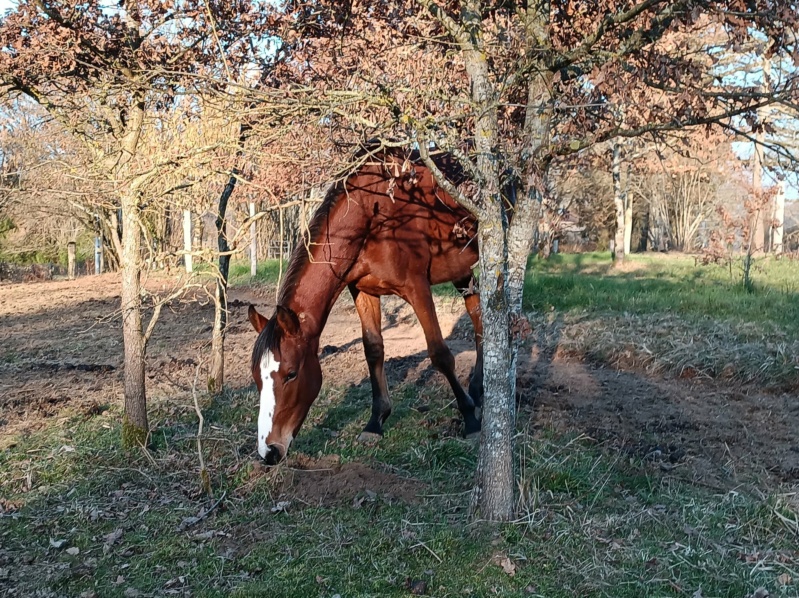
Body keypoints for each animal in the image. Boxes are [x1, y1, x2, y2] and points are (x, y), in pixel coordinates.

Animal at [250, 148, 484, 466]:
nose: (269, 451)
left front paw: (470, 420)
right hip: (461, 271)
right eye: (255, 378)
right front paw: (375, 422)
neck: (371, 215)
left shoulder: (417, 288)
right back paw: (479, 388)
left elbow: (440, 354)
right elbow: (373, 349)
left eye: (291, 374)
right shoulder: (361, 290)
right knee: (479, 316)